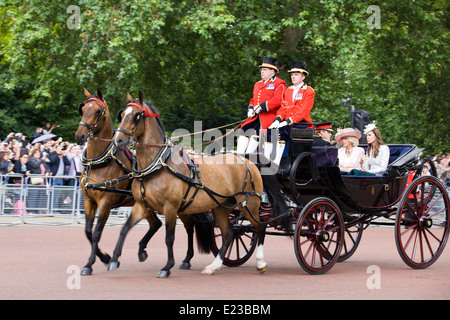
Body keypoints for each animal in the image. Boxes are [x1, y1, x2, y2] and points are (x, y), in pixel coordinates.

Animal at [108, 91, 276, 278]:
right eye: (122, 114)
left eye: (137, 115)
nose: (118, 141)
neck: (157, 165)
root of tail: (249, 161)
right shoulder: (141, 205)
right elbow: (125, 228)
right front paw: (114, 259)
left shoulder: (170, 208)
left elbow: (169, 237)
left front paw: (167, 266)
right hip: (221, 207)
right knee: (228, 234)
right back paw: (213, 266)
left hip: (248, 204)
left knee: (260, 227)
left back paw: (260, 263)